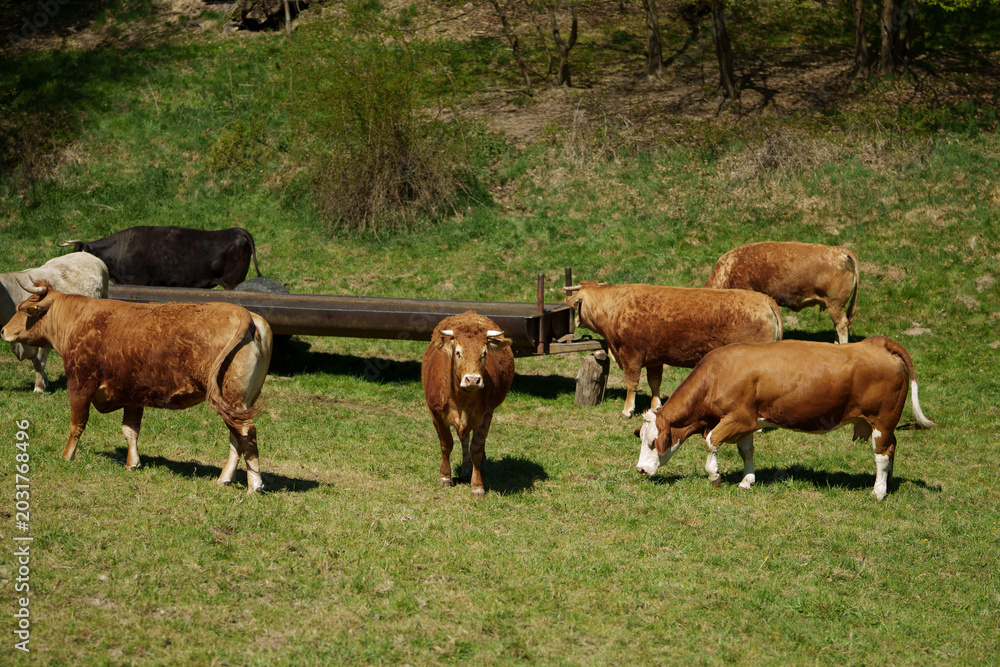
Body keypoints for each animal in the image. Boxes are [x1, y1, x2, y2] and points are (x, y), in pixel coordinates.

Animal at [1, 280, 273, 493]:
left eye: (23, 310)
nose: (3, 330)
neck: (78, 320)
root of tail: (245, 313)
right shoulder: (132, 395)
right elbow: (130, 430)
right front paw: (133, 463)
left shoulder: (80, 384)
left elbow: (76, 424)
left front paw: (67, 456)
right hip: (239, 402)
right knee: (237, 438)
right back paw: (224, 479)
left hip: (231, 398)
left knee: (246, 433)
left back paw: (255, 485)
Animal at [421, 311, 515, 497]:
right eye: (458, 353)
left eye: (484, 353)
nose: (472, 379)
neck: (461, 400)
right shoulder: (436, 414)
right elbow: (446, 444)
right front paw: (444, 476)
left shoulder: (486, 415)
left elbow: (476, 450)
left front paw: (477, 485)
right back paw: (465, 470)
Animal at [565, 281, 783, 418]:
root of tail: (766, 300)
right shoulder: (654, 358)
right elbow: (654, 383)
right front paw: (655, 407)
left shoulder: (631, 354)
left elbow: (632, 383)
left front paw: (628, 410)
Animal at [634, 337, 935, 500]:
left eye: (652, 443)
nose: (640, 470)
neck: (717, 375)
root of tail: (878, 342)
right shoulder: (748, 424)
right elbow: (746, 452)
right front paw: (747, 481)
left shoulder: (737, 419)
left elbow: (711, 442)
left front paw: (715, 477)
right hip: (885, 424)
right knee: (892, 448)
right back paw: (888, 483)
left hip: (881, 421)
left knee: (882, 454)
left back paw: (879, 490)